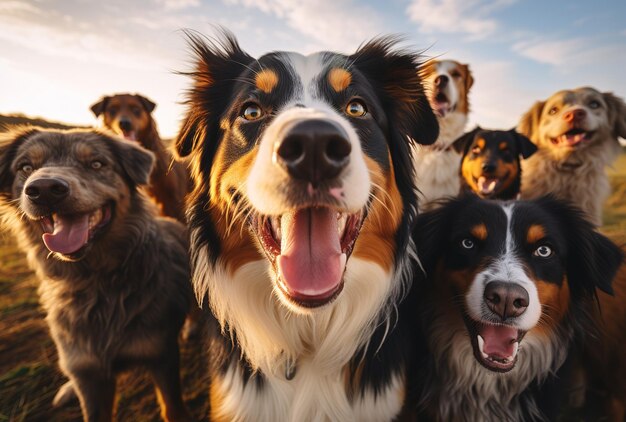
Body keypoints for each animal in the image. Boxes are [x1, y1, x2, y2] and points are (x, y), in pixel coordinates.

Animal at [0, 128, 191, 422]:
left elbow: (172, 407)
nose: (44, 190)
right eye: (26, 167)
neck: (94, 280)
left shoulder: (161, 354)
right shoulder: (87, 373)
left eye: (97, 164)